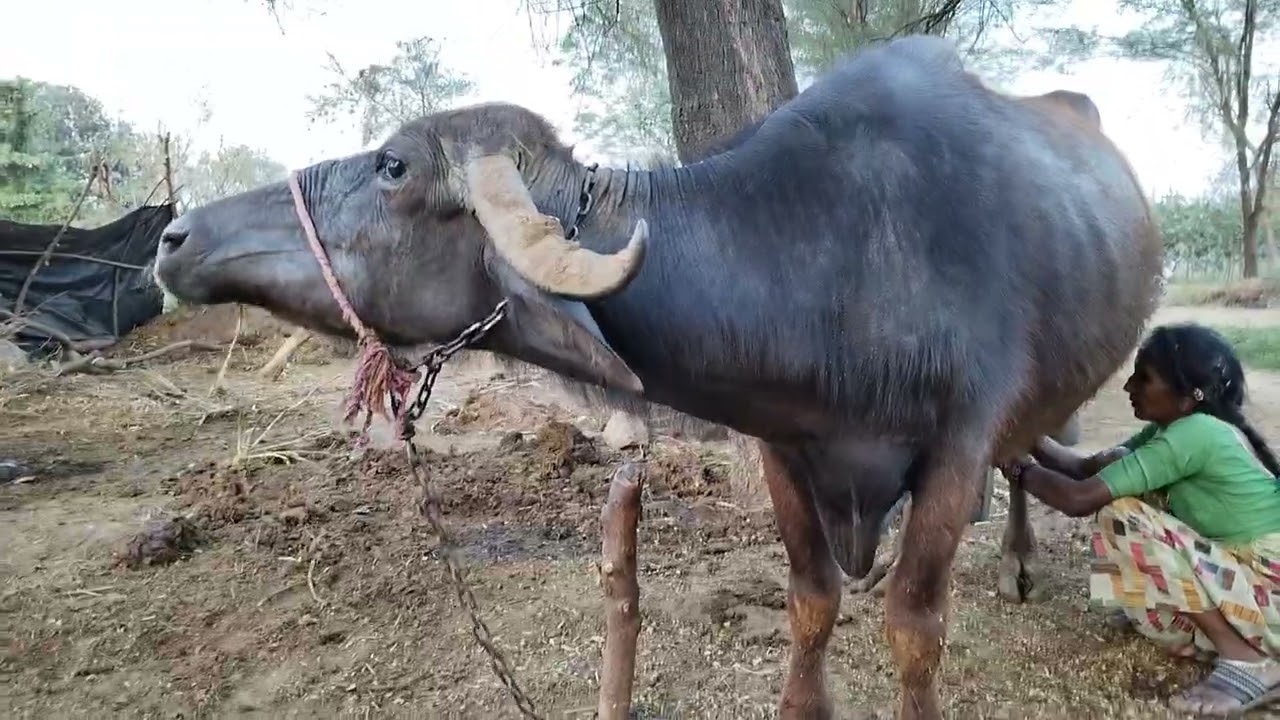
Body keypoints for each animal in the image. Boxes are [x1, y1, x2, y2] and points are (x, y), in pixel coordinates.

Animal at [153, 35, 1162, 720]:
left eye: (393, 163)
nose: (174, 237)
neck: (842, 249)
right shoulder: (783, 448)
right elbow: (811, 600)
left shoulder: (956, 445)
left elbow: (914, 626)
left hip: (1062, 396)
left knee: (1040, 450)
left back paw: (1019, 557)